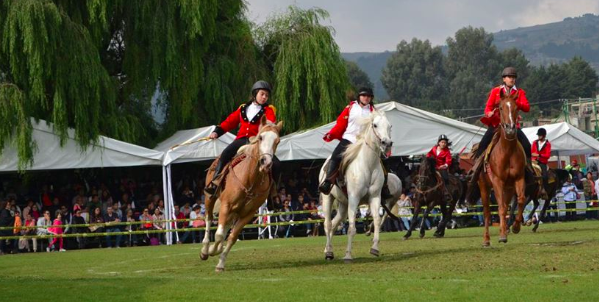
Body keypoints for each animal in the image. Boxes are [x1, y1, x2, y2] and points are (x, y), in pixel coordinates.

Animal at [200, 115, 282, 272]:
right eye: (260, 137)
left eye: (277, 141)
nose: (266, 162)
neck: (250, 178)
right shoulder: (226, 205)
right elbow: (219, 235)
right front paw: (212, 250)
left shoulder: (247, 214)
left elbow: (232, 237)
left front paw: (220, 263)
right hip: (210, 198)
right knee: (208, 219)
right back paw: (205, 249)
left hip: (235, 212)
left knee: (226, 227)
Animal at [322, 110, 396, 262]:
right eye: (375, 125)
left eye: (390, 126)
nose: (387, 143)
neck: (368, 165)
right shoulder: (354, 198)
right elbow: (351, 227)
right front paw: (348, 255)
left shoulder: (375, 197)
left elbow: (377, 221)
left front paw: (375, 249)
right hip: (327, 198)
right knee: (327, 224)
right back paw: (328, 252)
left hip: (343, 204)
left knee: (334, 224)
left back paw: (328, 250)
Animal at [476, 91, 528, 247]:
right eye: (499, 108)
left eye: (516, 108)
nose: (510, 129)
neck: (507, 151)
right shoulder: (497, 181)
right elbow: (500, 208)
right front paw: (503, 235)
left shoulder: (519, 178)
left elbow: (521, 200)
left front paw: (515, 227)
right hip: (484, 187)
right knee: (487, 212)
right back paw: (486, 239)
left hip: (508, 188)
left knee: (506, 205)